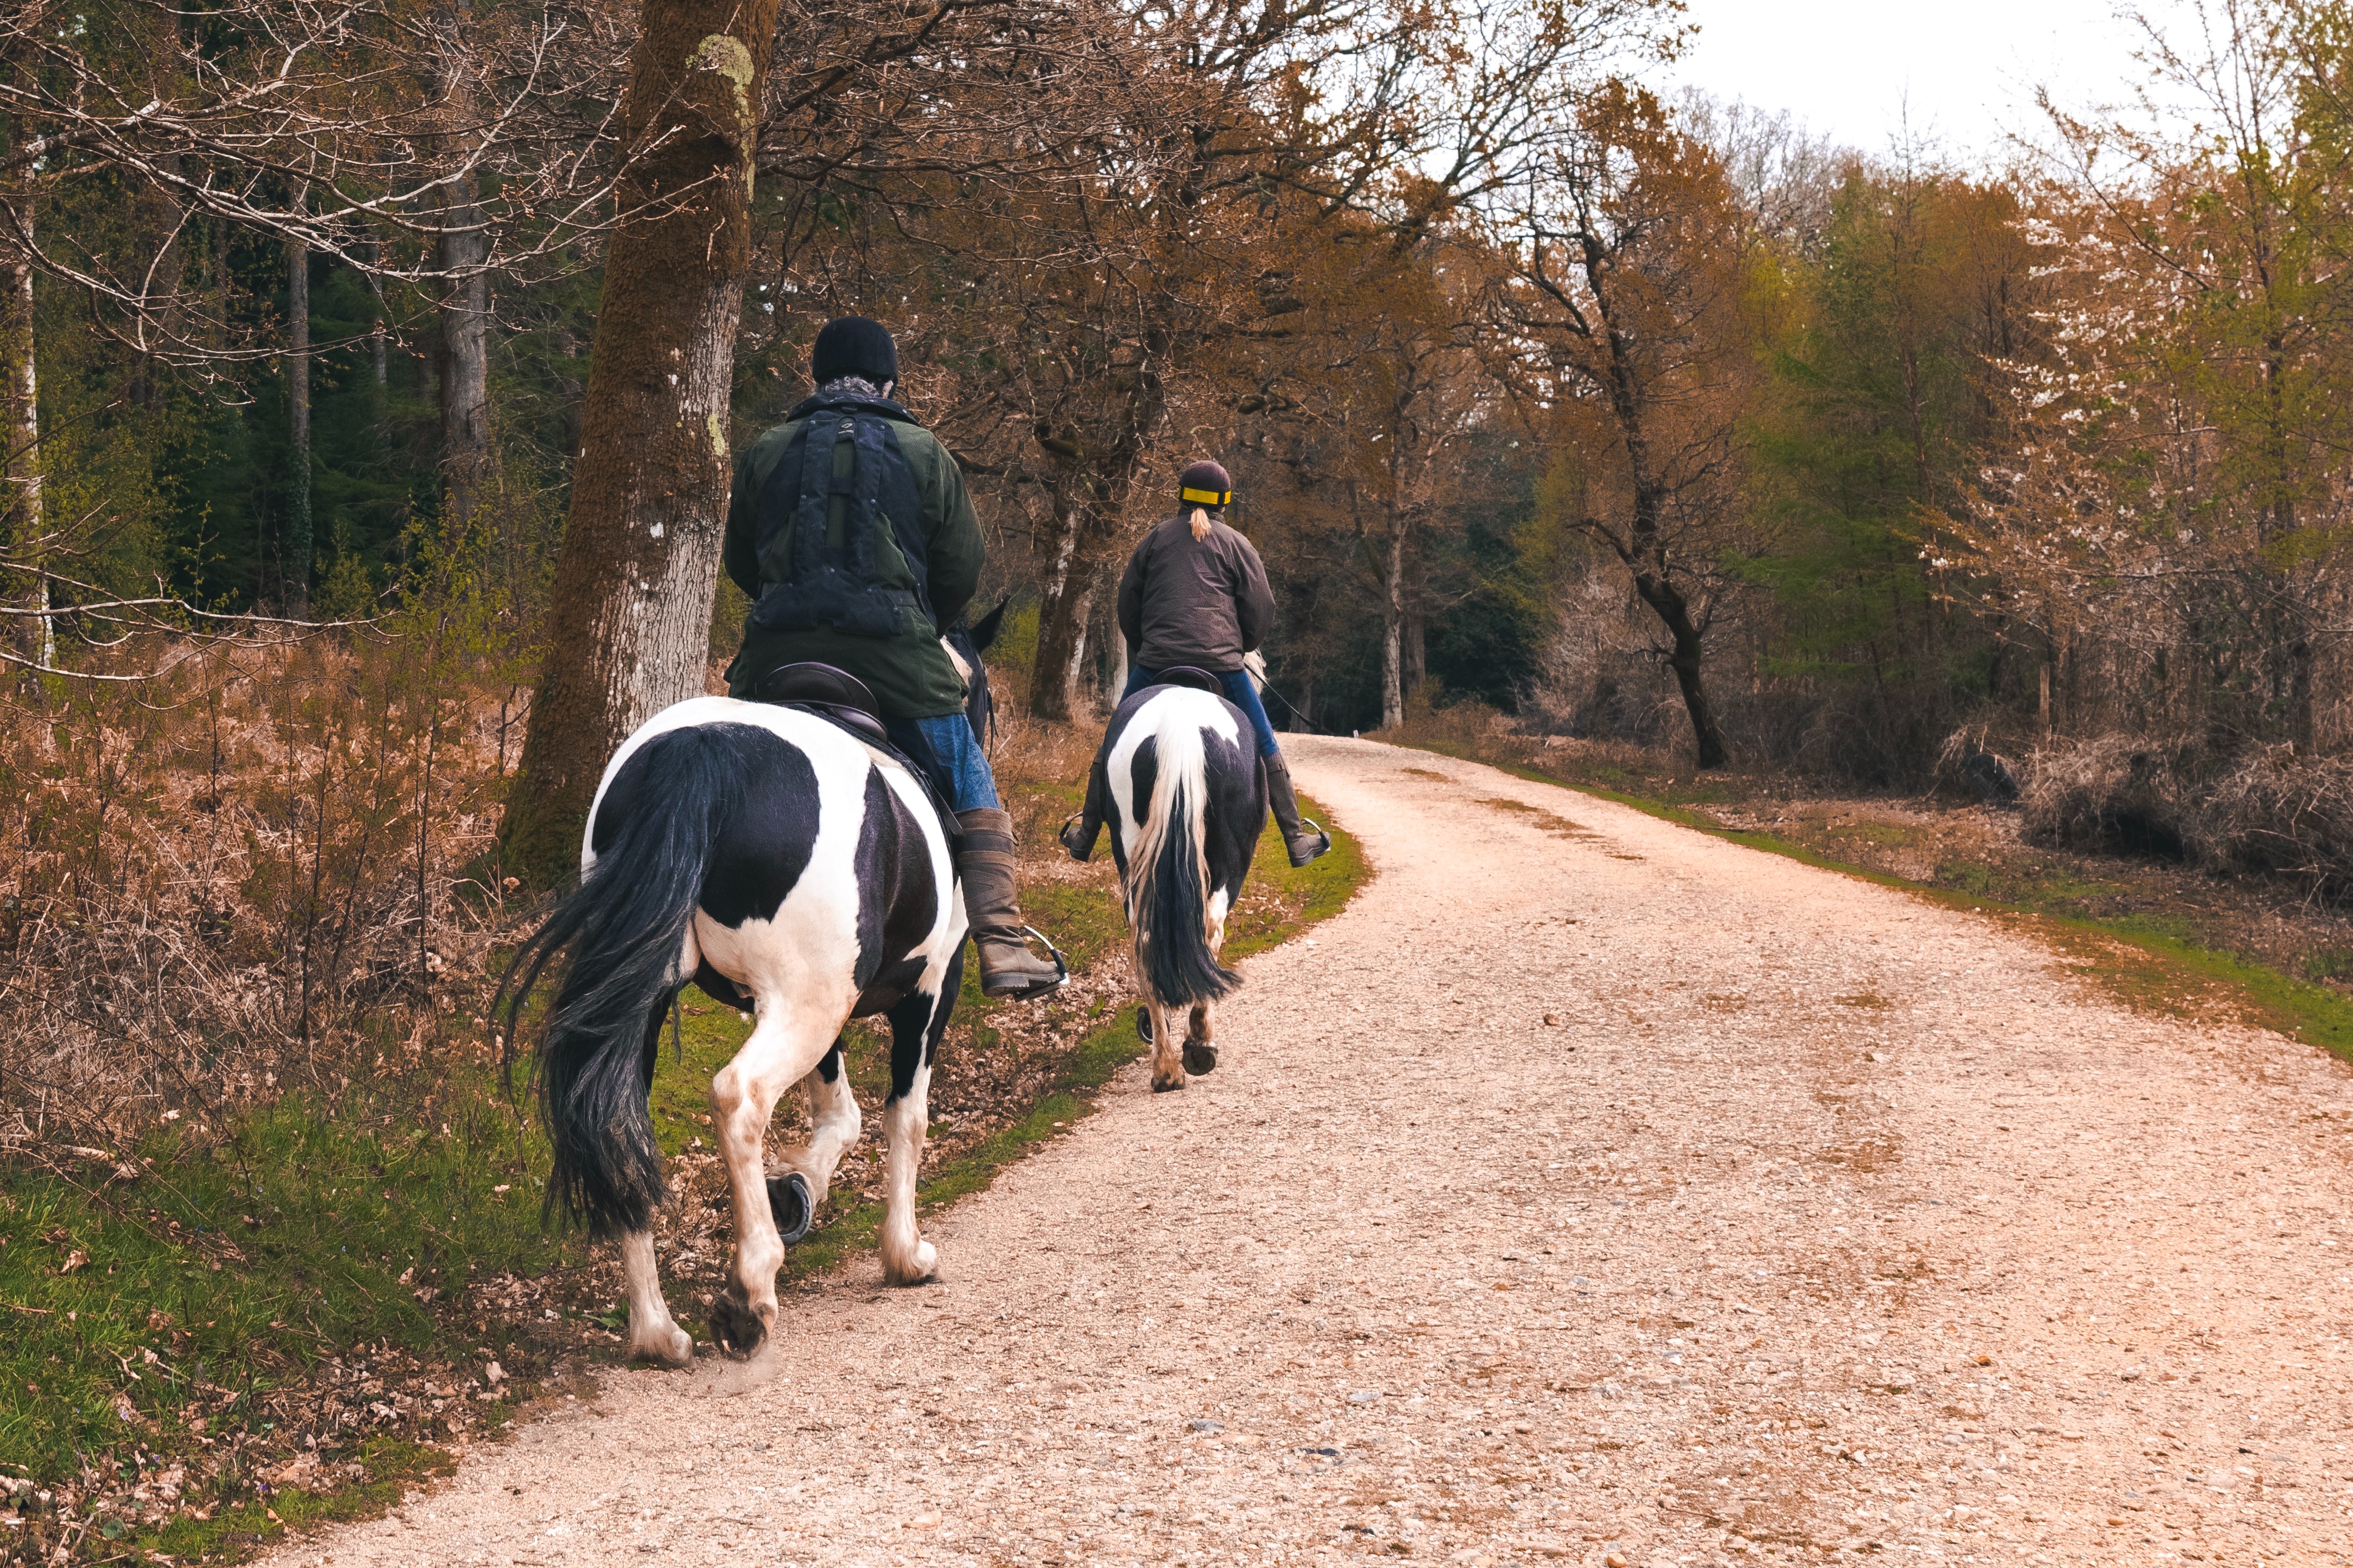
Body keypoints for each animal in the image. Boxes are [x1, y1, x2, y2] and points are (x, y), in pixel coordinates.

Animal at [506, 606, 1002, 1363]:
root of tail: (703, 751)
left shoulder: (823, 1007)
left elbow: (841, 1114)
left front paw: (796, 1191)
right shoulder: (927, 994)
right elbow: (905, 1118)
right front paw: (903, 1253)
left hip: (663, 1004)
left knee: (619, 1120)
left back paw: (655, 1332)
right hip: (806, 1004)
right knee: (739, 1098)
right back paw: (749, 1292)